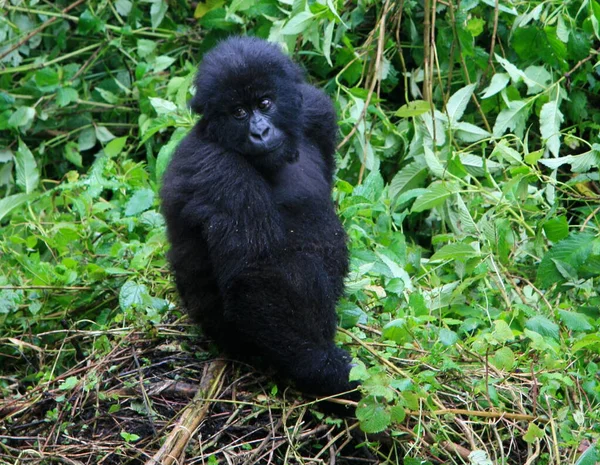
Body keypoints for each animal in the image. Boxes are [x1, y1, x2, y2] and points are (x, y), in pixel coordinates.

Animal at [161, 36, 356, 396]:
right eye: (238, 112)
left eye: (265, 103)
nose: (260, 132)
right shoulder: (220, 172)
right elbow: (257, 274)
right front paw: (324, 370)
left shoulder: (316, 110)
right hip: (230, 336)